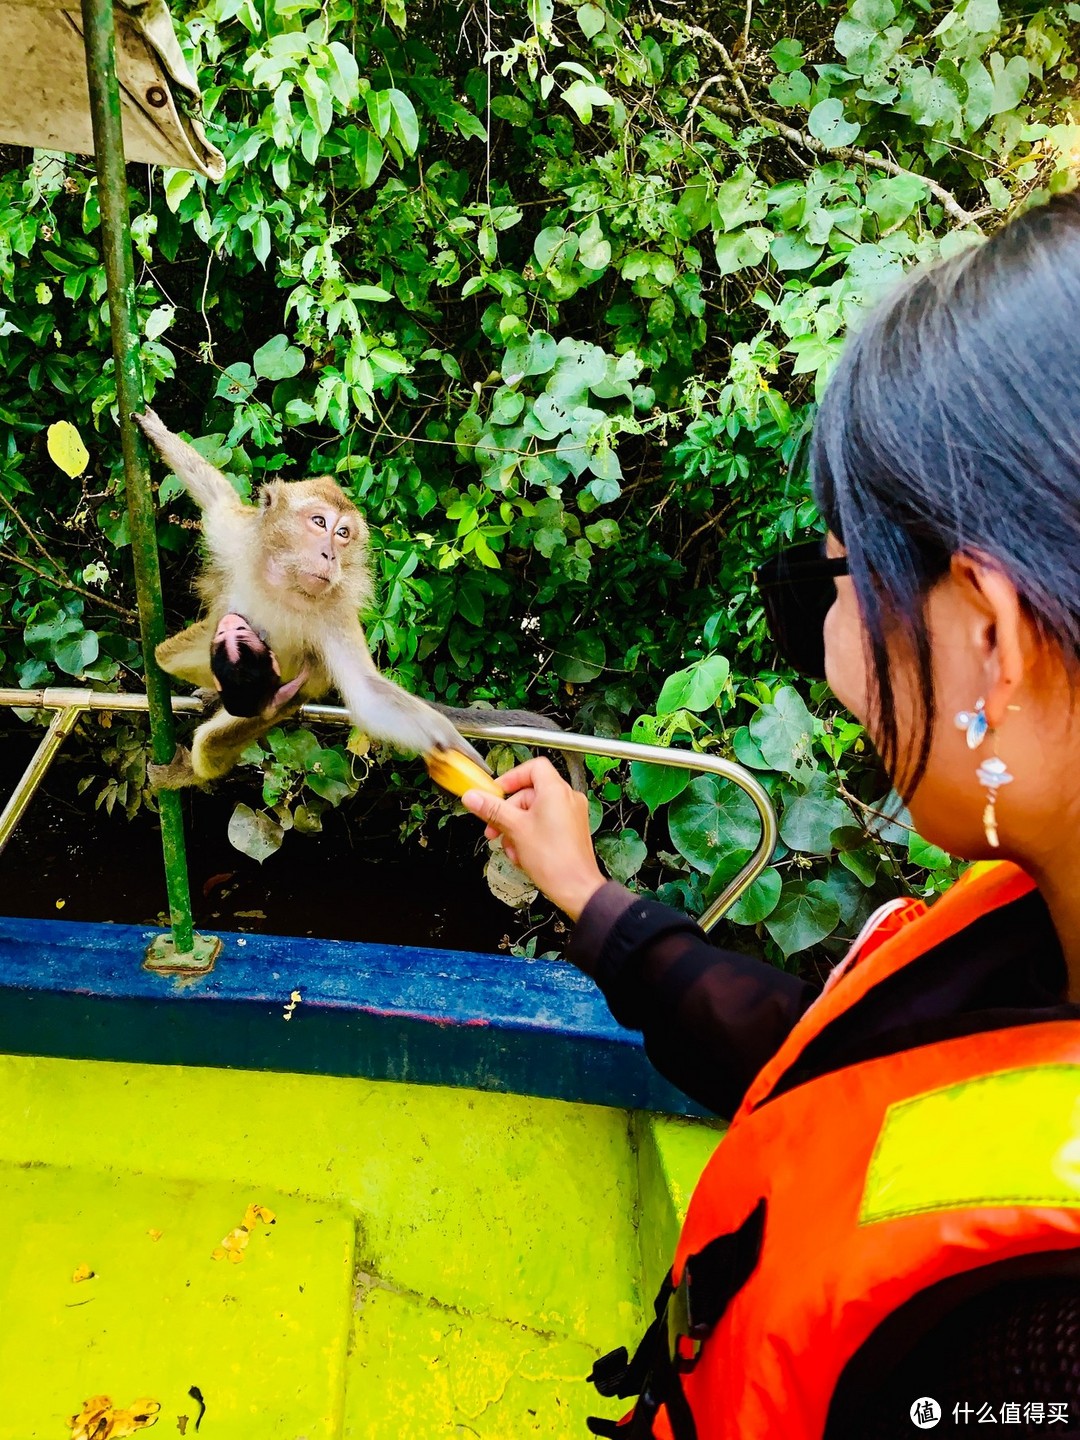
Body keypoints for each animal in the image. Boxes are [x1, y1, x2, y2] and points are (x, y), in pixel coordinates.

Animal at [140, 406, 587, 794]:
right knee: (167, 655)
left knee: (217, 732)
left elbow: (369, 692)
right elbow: (216, 497)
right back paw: (214, 692)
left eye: (343, 534)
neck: (282, 583)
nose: (330, 555)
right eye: (319, 522)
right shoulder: (236, 537)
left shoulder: (332, 611)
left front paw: (451, 746)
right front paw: (157, 431)